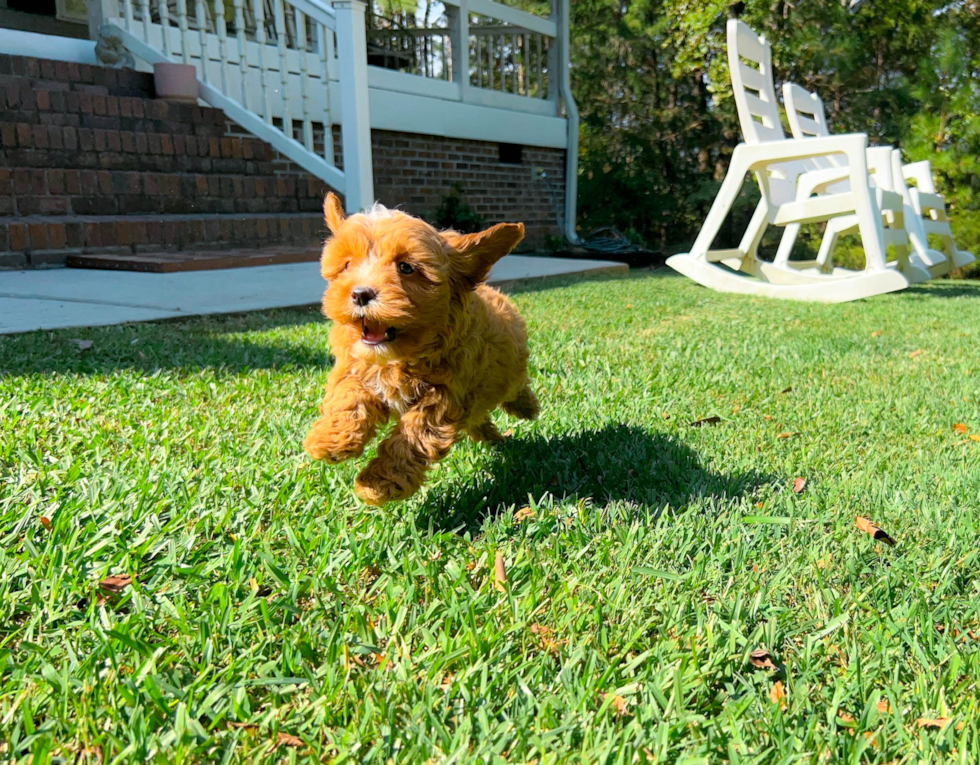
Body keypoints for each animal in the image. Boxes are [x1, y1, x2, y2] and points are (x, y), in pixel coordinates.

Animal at [302, 191, 540, 504]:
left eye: (406, 267)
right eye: (347, 265)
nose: (360, 293)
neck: (399, 357)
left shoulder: (444, 395)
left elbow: (413, 434)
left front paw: (380, 482)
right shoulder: (357, 367)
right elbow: (349, 397)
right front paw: (331, 439)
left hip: (509, 373)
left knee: (515, 387)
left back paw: (526, 408)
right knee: (478, 417)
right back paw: (489, 435)